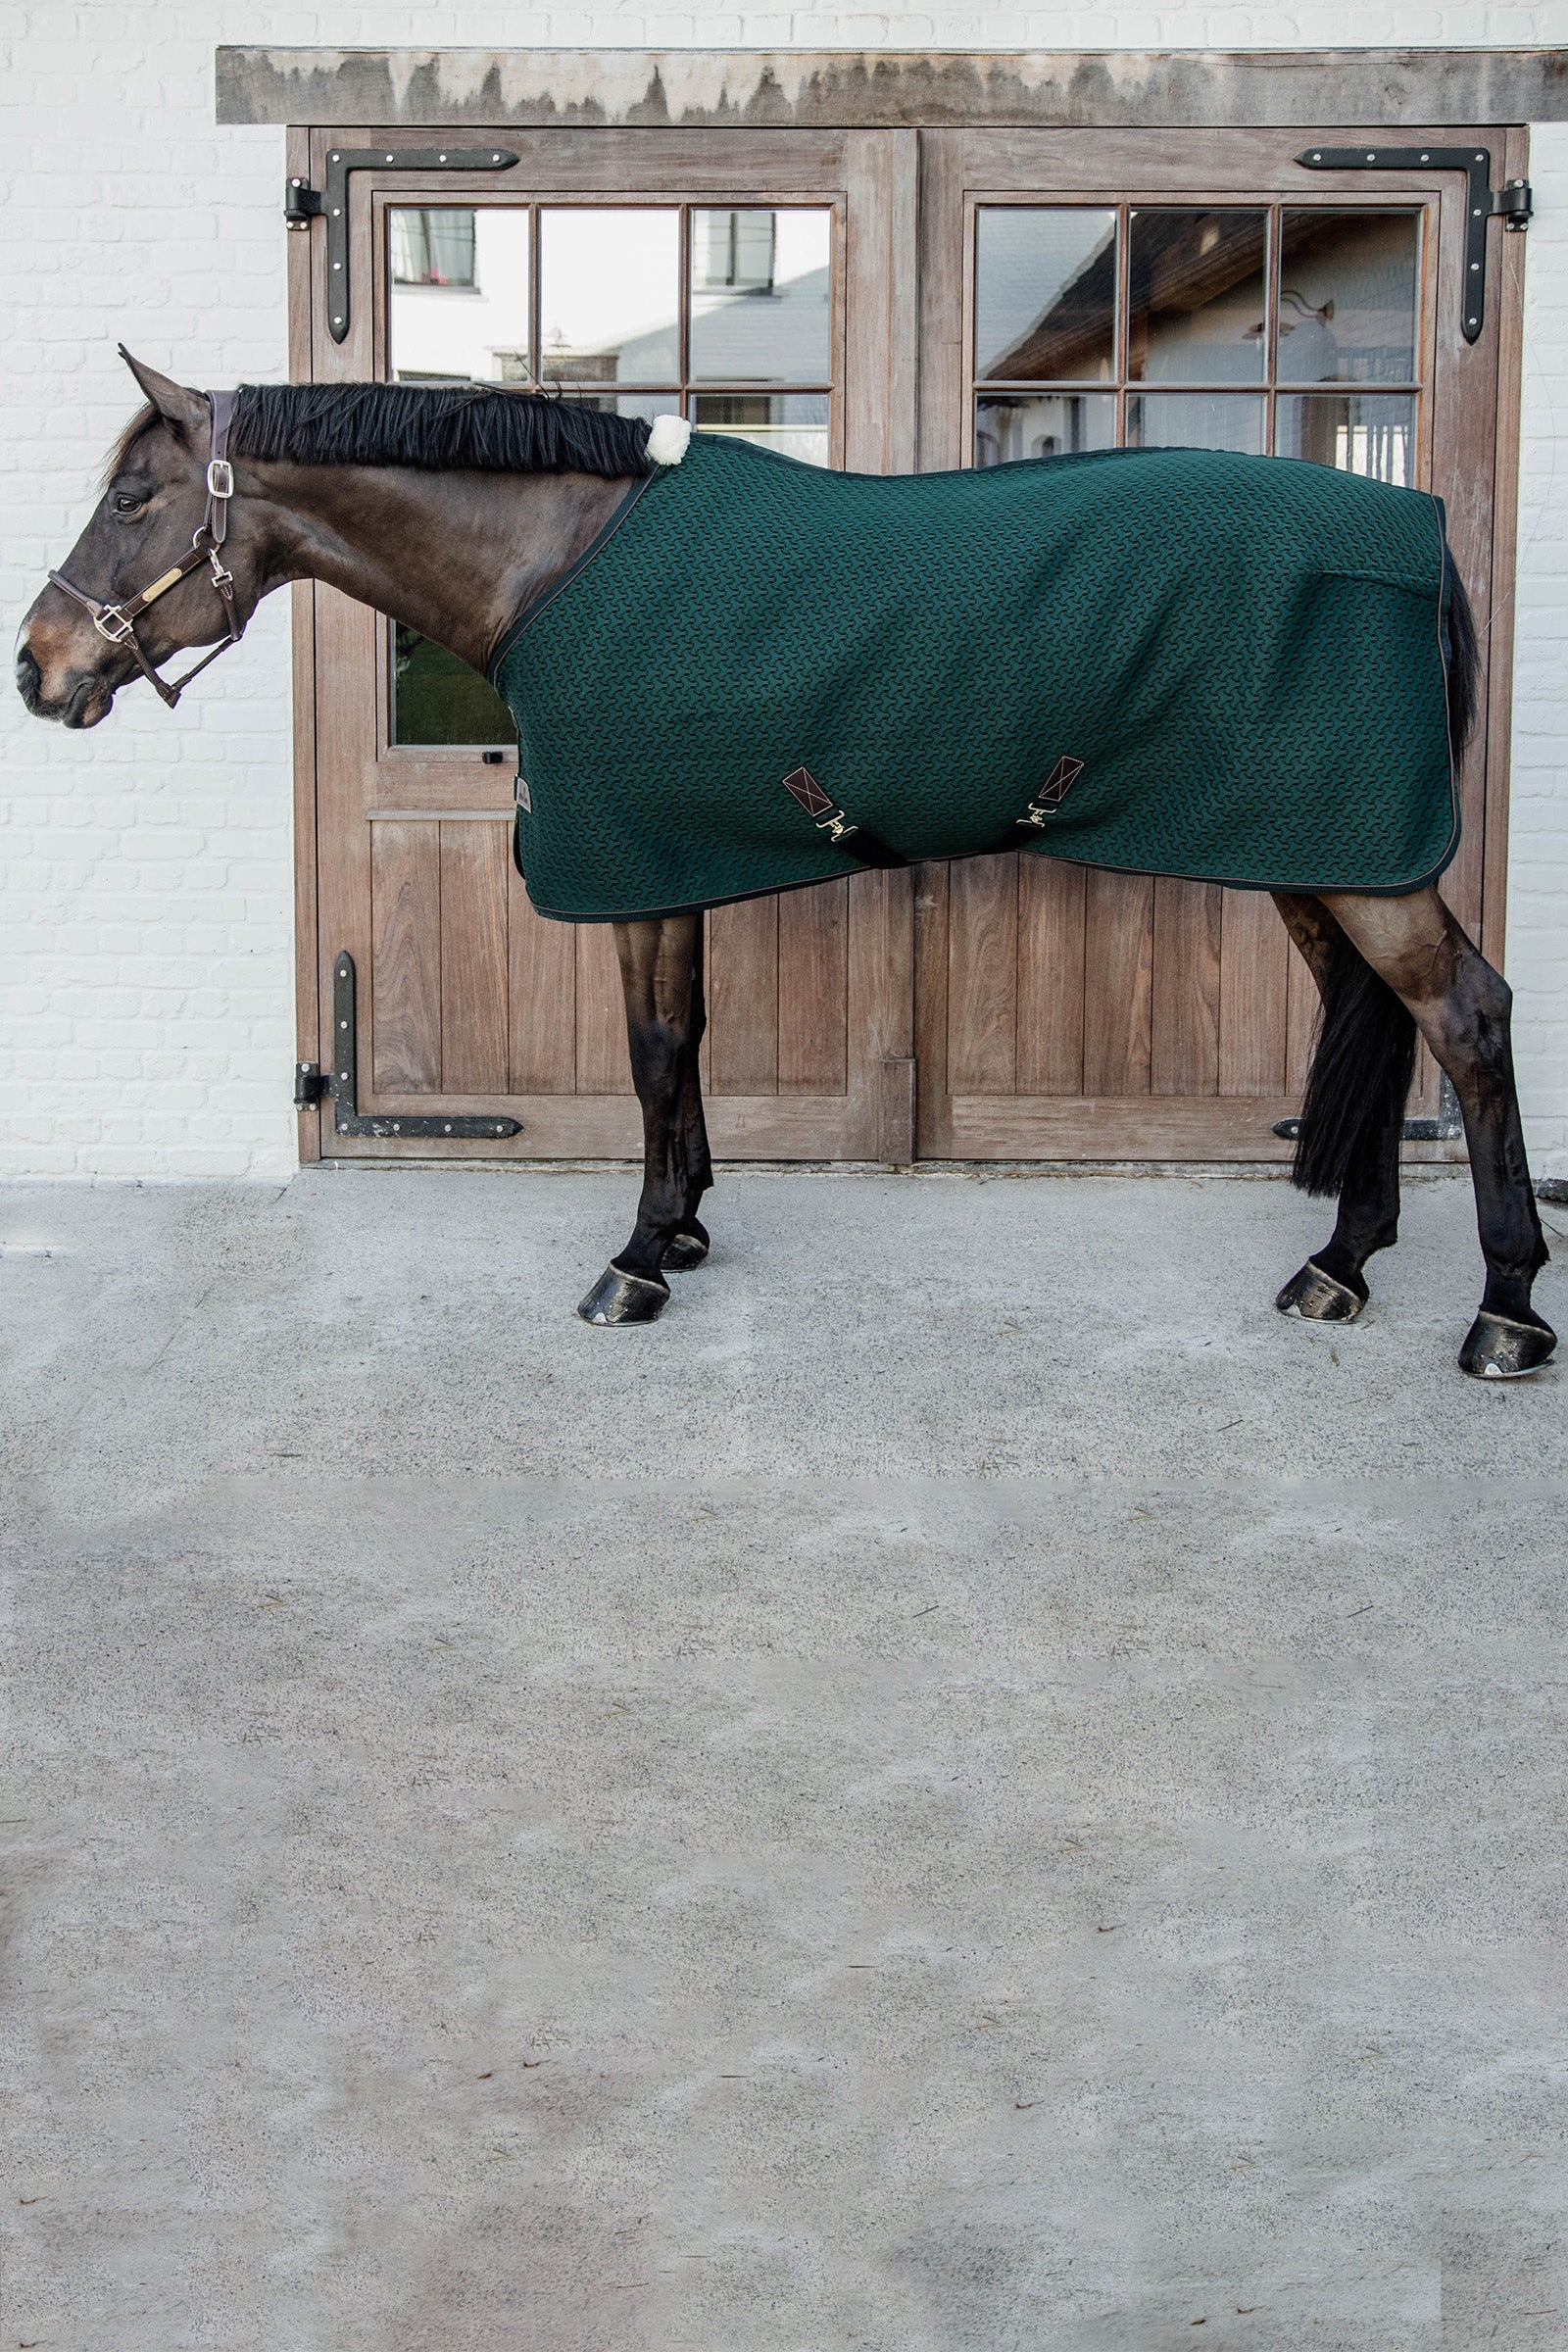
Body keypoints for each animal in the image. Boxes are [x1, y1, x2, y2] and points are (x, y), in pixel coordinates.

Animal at [16, 350, 1554, 1379]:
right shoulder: (666, 862)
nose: (38, 668)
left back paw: (1505, 1312)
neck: (554, 561)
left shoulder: (629, 864)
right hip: (1313, 849)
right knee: (1382, 1020)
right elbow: (685, 1042)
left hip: (1365, 862)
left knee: (1466, 1020)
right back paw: (1340, 1266)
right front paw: (686, 1228)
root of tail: (1412, 535)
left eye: (137, 496)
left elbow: (649, 1050)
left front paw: (636, 1262)